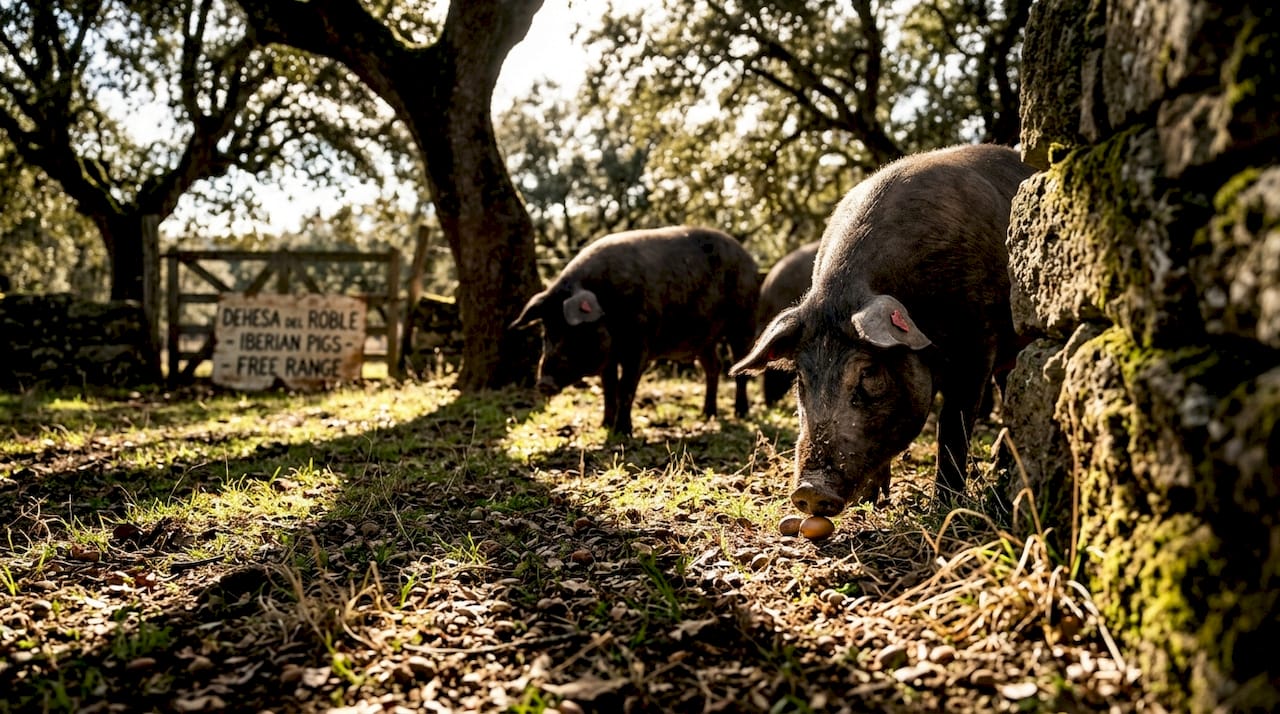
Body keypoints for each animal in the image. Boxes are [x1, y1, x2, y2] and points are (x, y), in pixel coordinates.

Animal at [511, 225, 760, 435]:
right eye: (547, 332)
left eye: (573, 331)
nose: (544, 383)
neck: (608, 304)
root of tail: (748, 257)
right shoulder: (609, 357)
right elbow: (609, 388)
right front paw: (604, 426)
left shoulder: (639, 346)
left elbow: (626, 387)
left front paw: (623, 432)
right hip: (704, 339)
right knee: (714, 367)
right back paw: (707, 415)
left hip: (744, 321)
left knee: (740, 367)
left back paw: (741, 413)